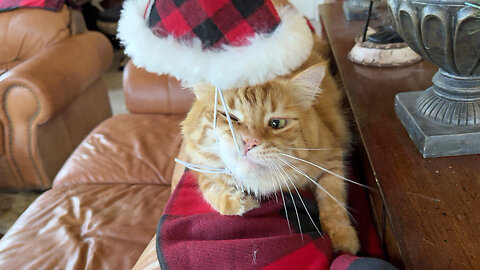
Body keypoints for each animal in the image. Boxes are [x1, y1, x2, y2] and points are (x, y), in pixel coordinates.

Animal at [181, 42, 360, 253]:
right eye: (230, 117)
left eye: (277, 123)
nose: (249, 142)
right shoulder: (199, 164)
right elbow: (212, 190)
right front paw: (241, 202)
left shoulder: (332, 156)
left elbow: (332, 200)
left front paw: (343, 239)